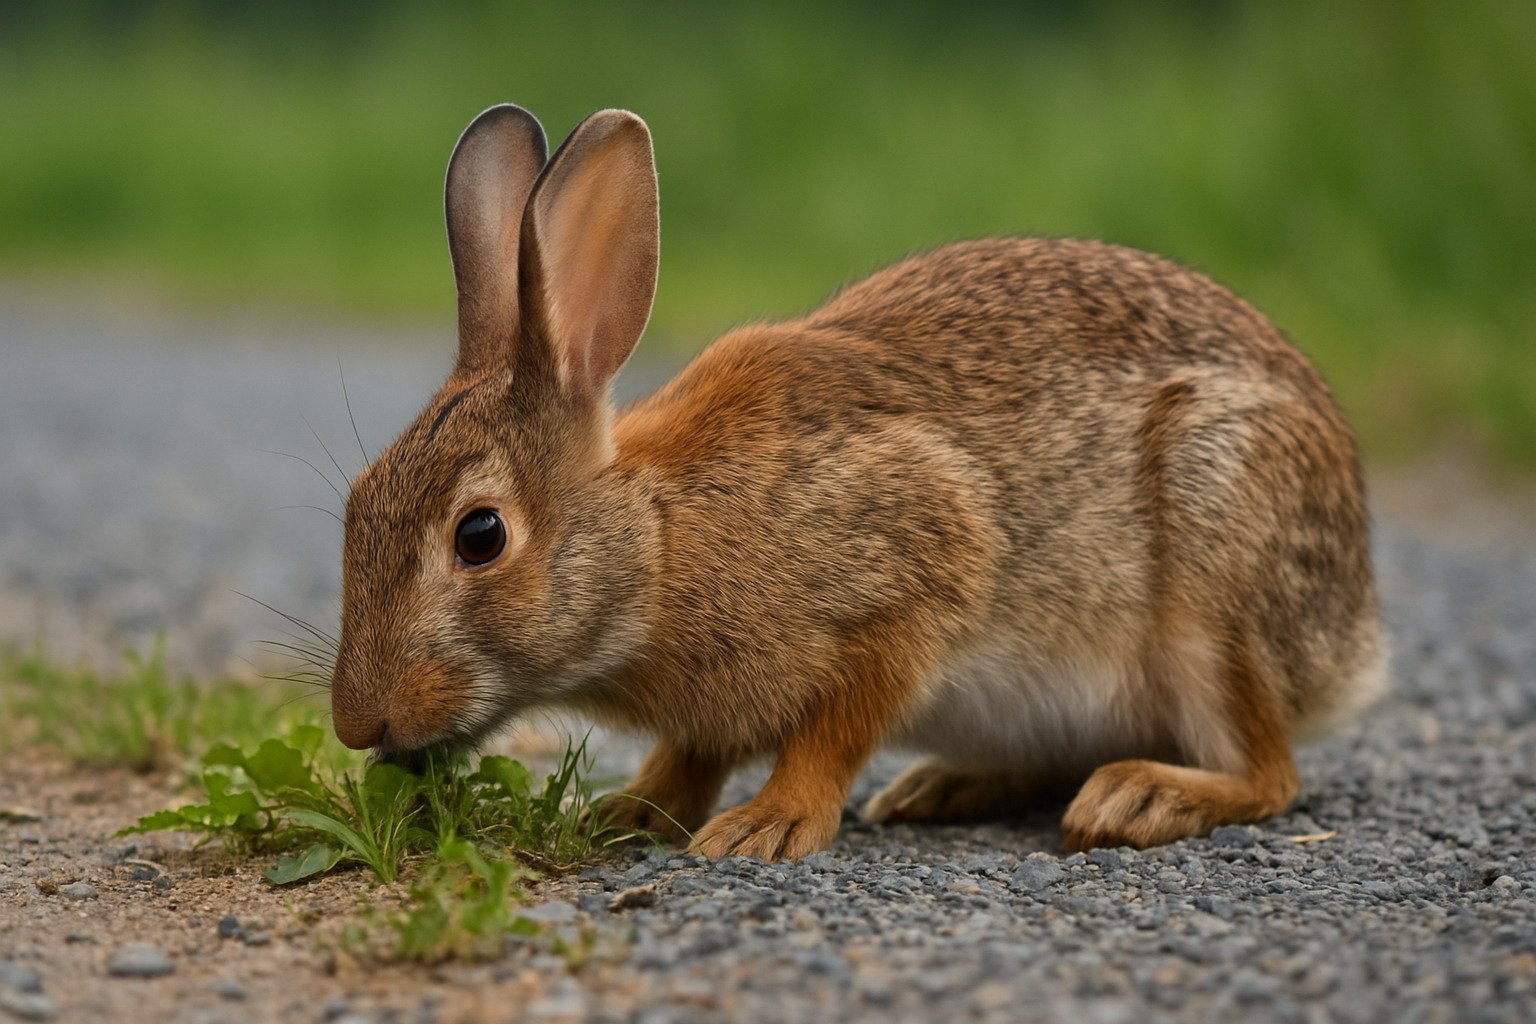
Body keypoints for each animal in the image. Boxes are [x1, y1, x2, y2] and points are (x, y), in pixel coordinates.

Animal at [328, 103, 1385, 860]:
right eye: (355, 505)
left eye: (480, 536)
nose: (355, 722)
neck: (661, 543)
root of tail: (1356, 640)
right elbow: (693, 755)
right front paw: (629, 814)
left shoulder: (918, 563)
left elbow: (837, 726)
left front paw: (768, 827)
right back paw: (948, 786)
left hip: (1217, 560)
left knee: (1270, 771)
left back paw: (1142, 796)